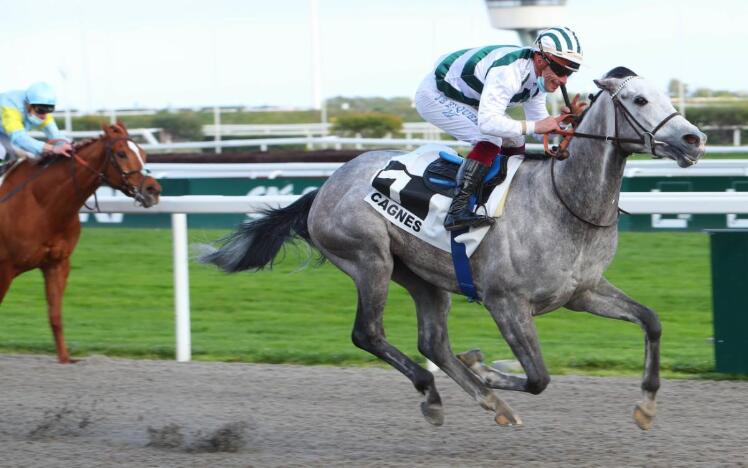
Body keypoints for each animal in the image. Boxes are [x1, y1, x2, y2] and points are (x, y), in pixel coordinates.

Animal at [0, 123, 161, 362]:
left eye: (143, 153)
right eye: (121, 154)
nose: (153, 190)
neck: (39, 203)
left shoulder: (57, 263)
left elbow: (55, 315)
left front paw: (66, 357)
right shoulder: (5, 268)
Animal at [202, 67, 704, 430]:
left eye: (666, 96)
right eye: (639, 100)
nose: (693, 139)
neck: (564, 201)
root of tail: (324, 186)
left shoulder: (582, 292)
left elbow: (651, 321)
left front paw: (646, 407)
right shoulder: (505, 302)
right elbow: (539, 377)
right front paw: (489, 368)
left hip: (423, 276)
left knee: (433, 341)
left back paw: (487, 400)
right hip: (370, 259)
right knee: (368, 333)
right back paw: (437, 392)